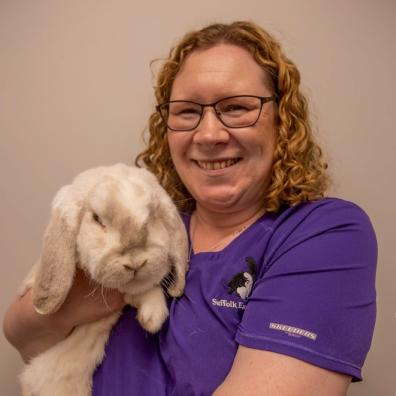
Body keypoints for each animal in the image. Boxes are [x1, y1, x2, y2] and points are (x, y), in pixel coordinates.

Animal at [19, 162, 189, 394]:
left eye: (153, 215)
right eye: (97, 219)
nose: (135, 263)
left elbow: (140, 289)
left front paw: (151, 317)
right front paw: (153, 317)